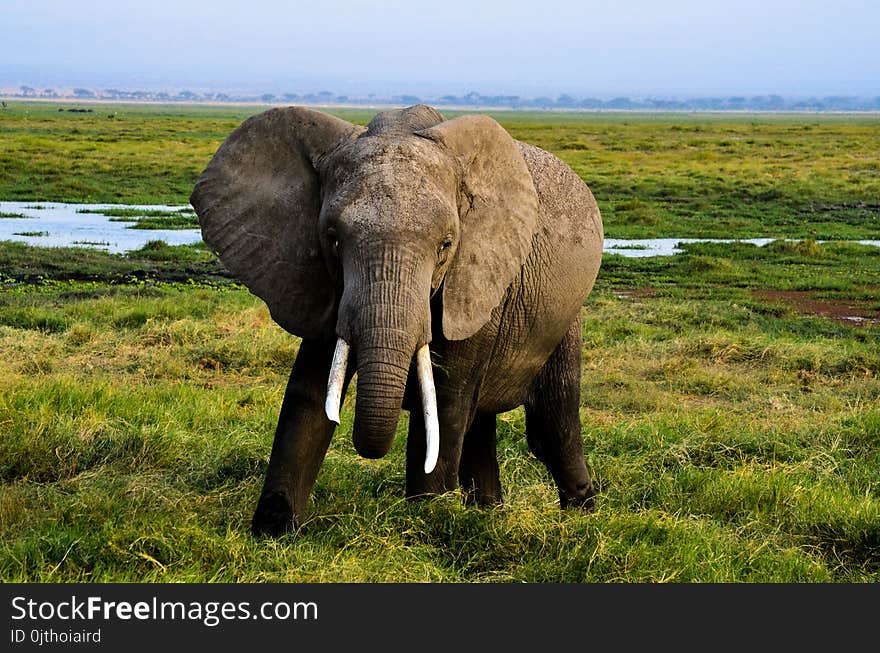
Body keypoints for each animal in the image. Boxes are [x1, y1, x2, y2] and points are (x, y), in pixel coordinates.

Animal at [191, 103, 604, 536]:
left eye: (446, 245)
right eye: (332, 239)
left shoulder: (475, 279)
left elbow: (443, 403)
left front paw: (426, 520)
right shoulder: (325, 286)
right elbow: (308, 393)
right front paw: (274, 531)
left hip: (566, 318)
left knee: (551, 422)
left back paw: (582, 516)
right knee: (483, 423)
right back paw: (488, 513)